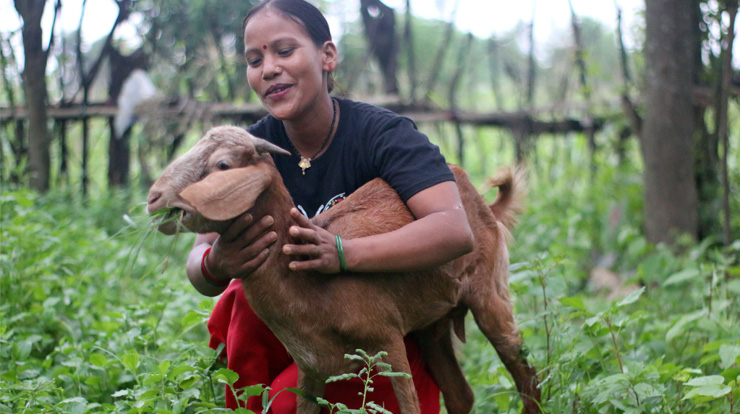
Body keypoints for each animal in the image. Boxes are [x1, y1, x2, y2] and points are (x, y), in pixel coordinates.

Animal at [146, 126, 536, 414]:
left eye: (223, 165)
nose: (154, 198)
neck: (314, 288)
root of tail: (483, 203)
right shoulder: (311, 369)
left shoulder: (388, 343)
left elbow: (409, 406)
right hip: (432, 324)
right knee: (460, 394)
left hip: (490, 294)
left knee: (526, 374)